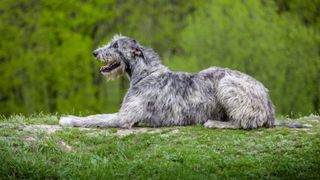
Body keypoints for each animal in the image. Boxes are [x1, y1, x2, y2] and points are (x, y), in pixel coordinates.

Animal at [60, 34, 308, 129]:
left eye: (114, 45)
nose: (94, 53)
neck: (147, 73)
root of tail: (269, 106)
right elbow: (95, 117)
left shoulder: (125, 118)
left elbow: (94, 119)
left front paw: (69, 119)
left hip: (227, 84)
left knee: (247, 122)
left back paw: (215, 123)